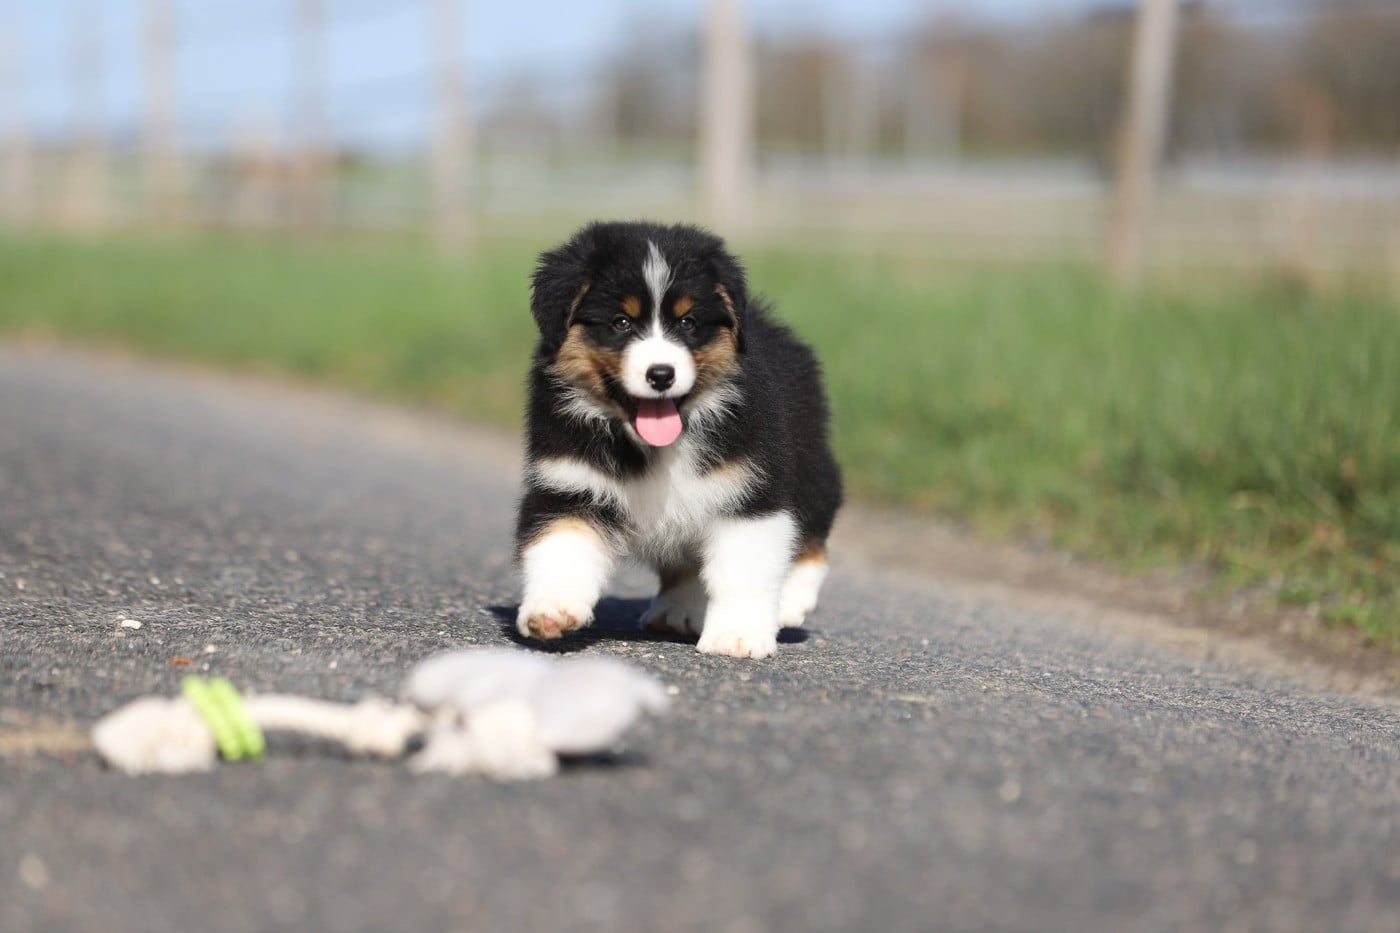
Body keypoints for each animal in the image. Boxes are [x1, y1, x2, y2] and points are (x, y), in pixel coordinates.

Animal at [514, 221, 842, 659]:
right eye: (621, 322)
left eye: (688, 323)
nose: (661, 374)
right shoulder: (569, 482)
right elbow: (560, 547)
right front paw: (551, 611)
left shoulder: (749, 489)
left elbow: (744, 569)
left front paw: (737, 637)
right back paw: (678, 610)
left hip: (808, 459)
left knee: (812, 532)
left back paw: (790, 601)